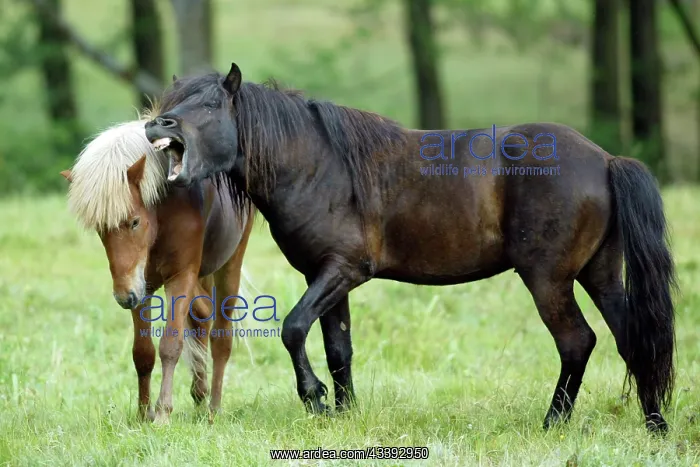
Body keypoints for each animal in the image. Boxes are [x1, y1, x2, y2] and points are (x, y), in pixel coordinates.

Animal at [61, 117, 256, 423]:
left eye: (134, 221)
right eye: (100, 229)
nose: (122, 296)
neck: (167, 208)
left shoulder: (180, 277)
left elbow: (170, 345)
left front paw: (163, 412)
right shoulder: (142, 285)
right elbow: (143, 353)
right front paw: (143, 414)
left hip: (230, 264)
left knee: (221, 336)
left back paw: (213, 408)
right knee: (201, 317)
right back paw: (199, 394)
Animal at [143, 64, 677, 433]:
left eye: (210, 106)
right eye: (176, 100)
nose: (156, 125)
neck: (318, 165)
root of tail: (605, 159)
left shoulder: (343, 269)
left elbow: (293, 328)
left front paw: (315, 398)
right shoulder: (326, 276)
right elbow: (338, 347)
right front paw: (345, 412)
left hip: (549, 279)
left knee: (577, 342)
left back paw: (554, 423)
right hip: (600, 274)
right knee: (632, 338)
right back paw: (654, 424)